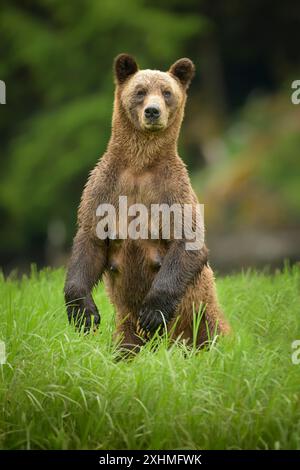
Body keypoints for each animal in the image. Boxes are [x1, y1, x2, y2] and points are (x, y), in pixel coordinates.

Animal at [65, 54, 230, 352]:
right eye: (140, 91)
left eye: (166, 92)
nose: (153, 112)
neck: (139, 166)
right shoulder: (103, 188)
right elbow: (90, 240)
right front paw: (84, 313)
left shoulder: (172, 190)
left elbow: (188, 240)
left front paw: (153, 312)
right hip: (125, 329)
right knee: (126, 344)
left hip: (202, 314)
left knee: (212, 333)